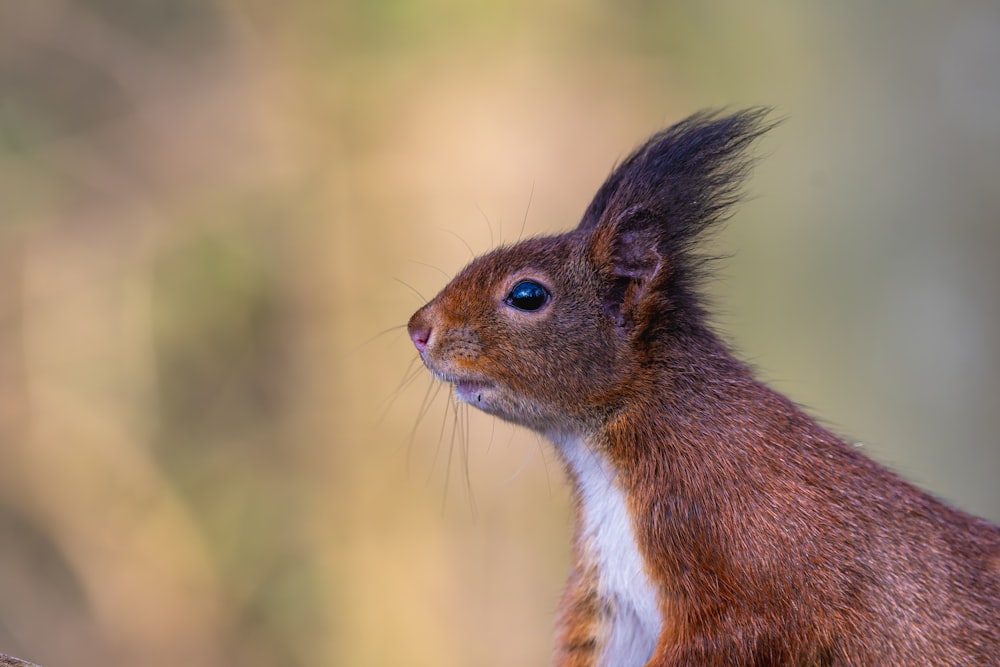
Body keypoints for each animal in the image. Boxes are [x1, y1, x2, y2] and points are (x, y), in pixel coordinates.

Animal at [404, 111, 1000, 667]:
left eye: (527, 295)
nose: (417, 329)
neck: (601, 455)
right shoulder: (610, 602)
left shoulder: (758, 554)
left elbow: (742, 628)